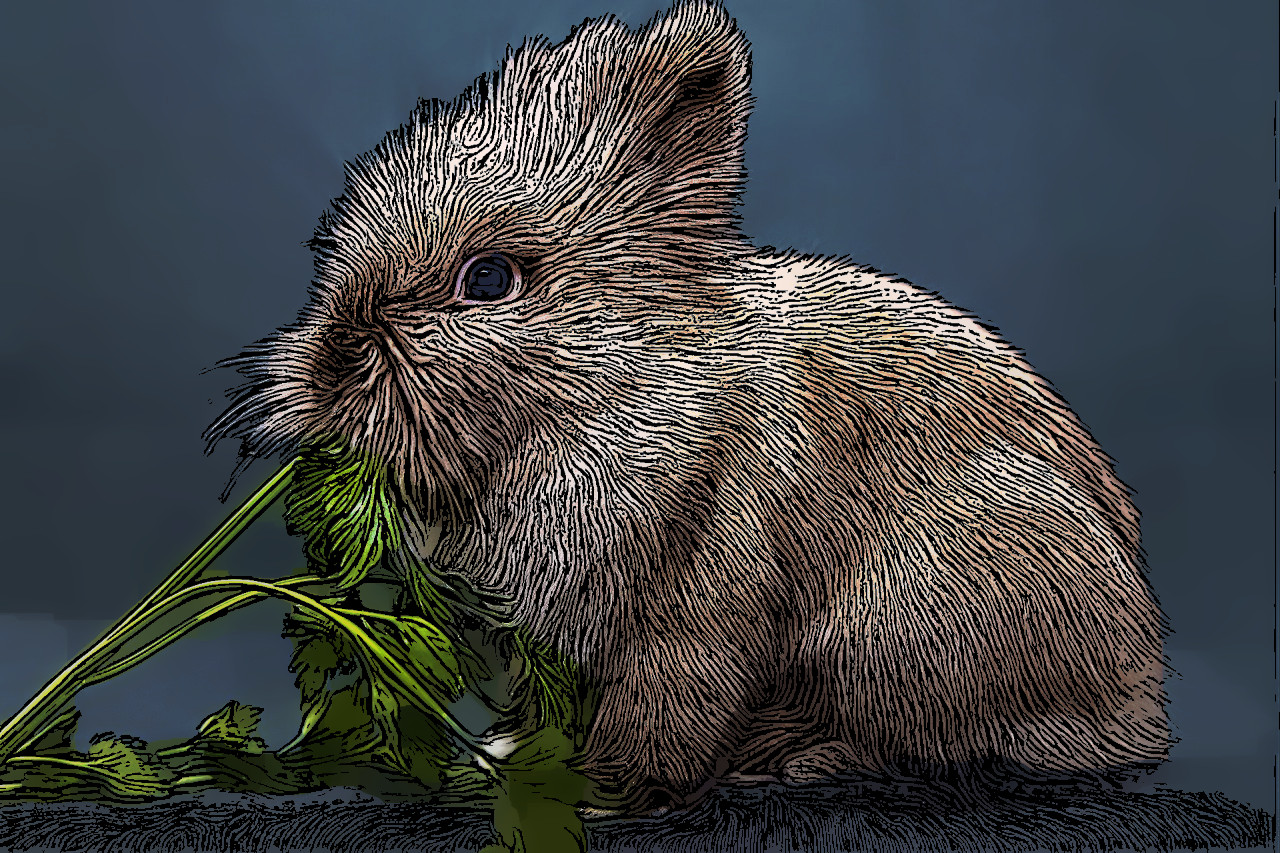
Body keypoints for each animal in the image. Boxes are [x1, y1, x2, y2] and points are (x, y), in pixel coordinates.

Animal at [205, 0, 1171, 812]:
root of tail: (1142, 694)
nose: (330, 368)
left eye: (487, 280)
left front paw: (602, 788)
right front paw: (508, 755)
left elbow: (668, 701)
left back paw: (797, 756)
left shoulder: (691, 603)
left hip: (908, 627)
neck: (608, 386)